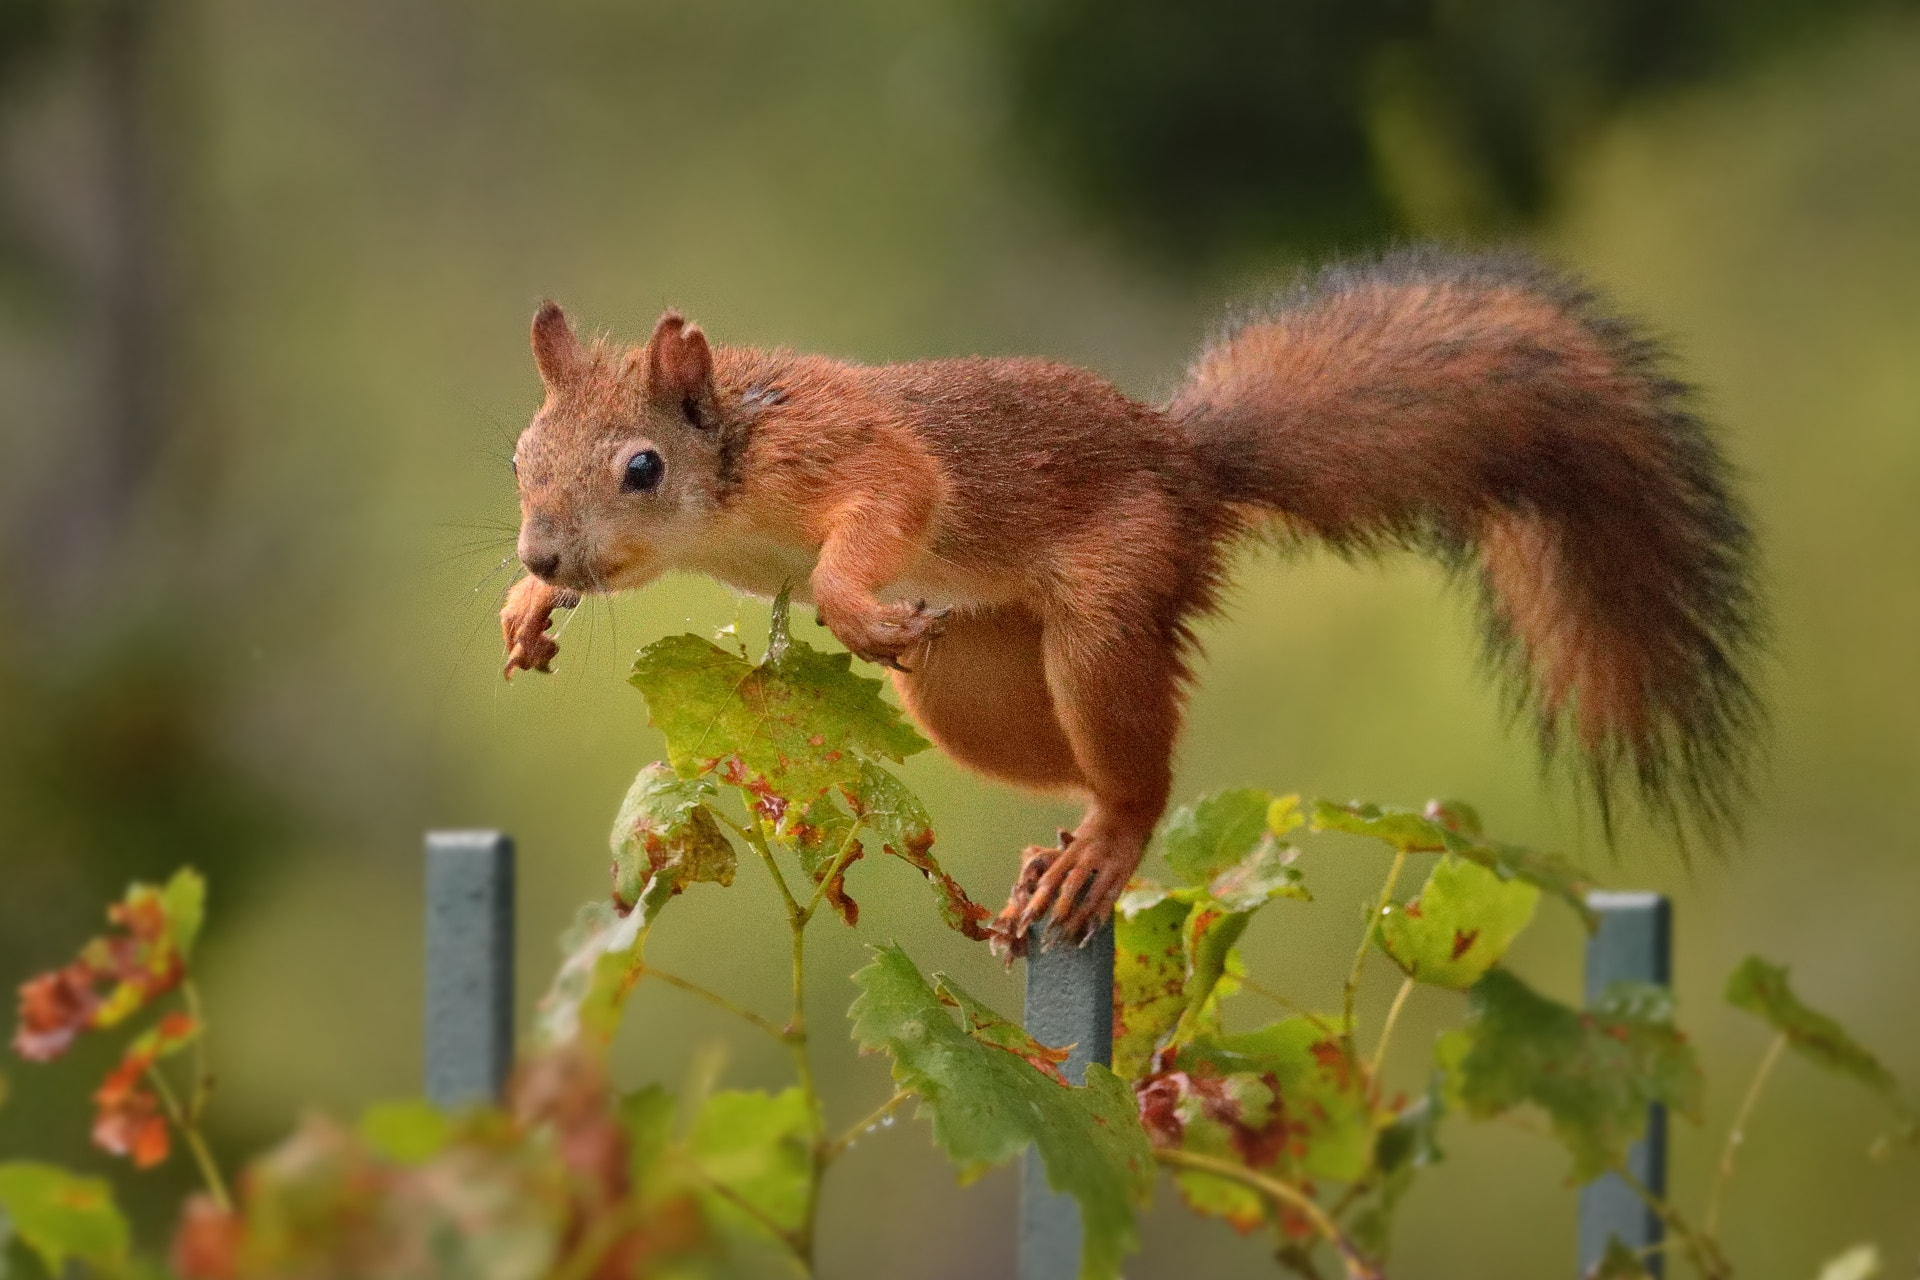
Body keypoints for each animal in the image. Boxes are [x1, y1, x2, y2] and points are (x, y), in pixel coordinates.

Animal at [503, 249, 1758, 948]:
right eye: (520, 452)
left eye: (641, 468)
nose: (548, 554)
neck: (732, 458)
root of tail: (1190, 463)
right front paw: (522, 611)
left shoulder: (847, 446)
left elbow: (899, 495)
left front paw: (853, 604)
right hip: (973, 681)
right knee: (1065, 753)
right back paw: (1054, 847)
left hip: (1113, 600)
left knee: (1139, 772)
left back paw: (1103, 840)